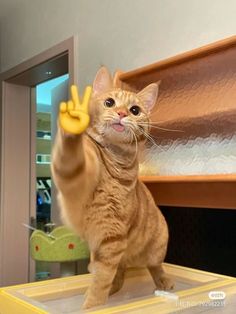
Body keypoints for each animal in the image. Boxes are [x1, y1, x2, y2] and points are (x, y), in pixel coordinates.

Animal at [51, 67, 173, 310]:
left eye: (135, 110)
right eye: (109, 102)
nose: (121, 113)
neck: (114, 161)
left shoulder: (112, 236)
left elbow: (101, 280)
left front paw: (92, 306)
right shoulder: (72, 178)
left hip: (157, 246)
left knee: (154, 267)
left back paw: (163, 282)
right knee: (120, 273)